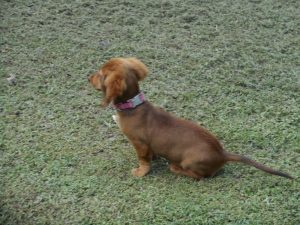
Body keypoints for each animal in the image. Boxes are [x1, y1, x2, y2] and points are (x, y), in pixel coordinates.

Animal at [88, 57, 292, 180]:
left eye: (100, 74)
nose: (88, 77)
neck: (134, 105)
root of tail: (222, 153)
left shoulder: (139, 143)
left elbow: (143, 160)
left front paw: (140, 172)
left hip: (189, 161)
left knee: (200, 176)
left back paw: (176, 168)